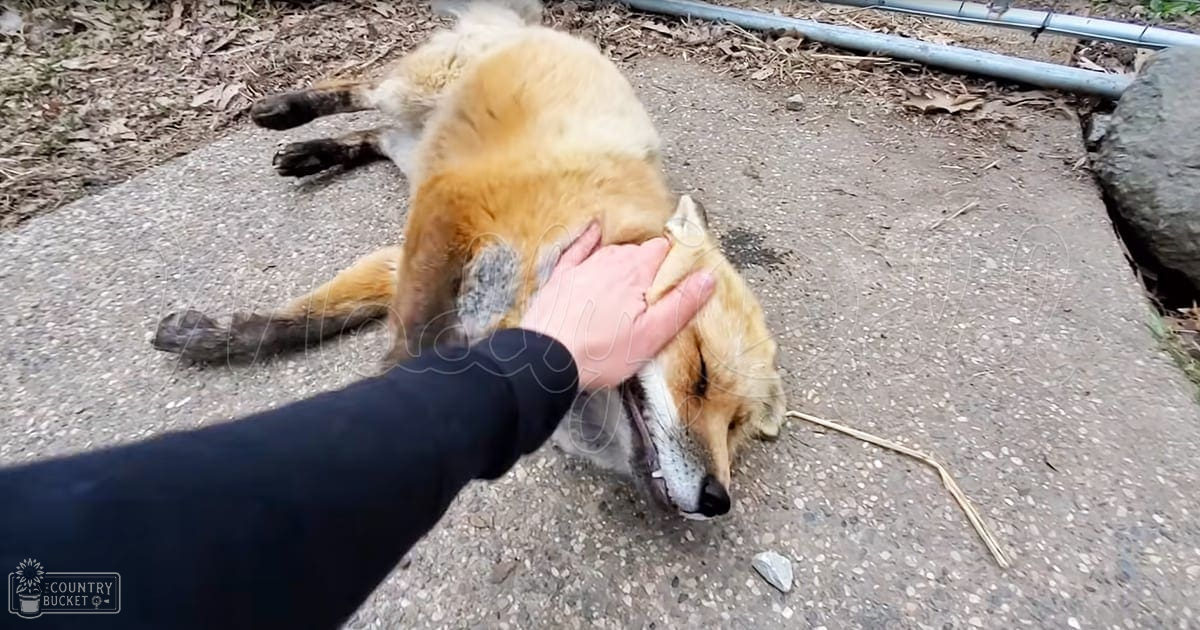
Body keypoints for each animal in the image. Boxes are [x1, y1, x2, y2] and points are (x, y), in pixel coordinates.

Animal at [152, 0, 786, 519]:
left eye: (736, 426)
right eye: (700, 374)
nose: (718, 499)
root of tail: (542, 30)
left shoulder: (403, 256)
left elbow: (298, 321)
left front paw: (212, 336)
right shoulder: (448, 211)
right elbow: (394, 340)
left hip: (411, 148)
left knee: (373, 133)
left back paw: (317, 152)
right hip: (416, 95)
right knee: (363, 87)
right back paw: (290, 109)